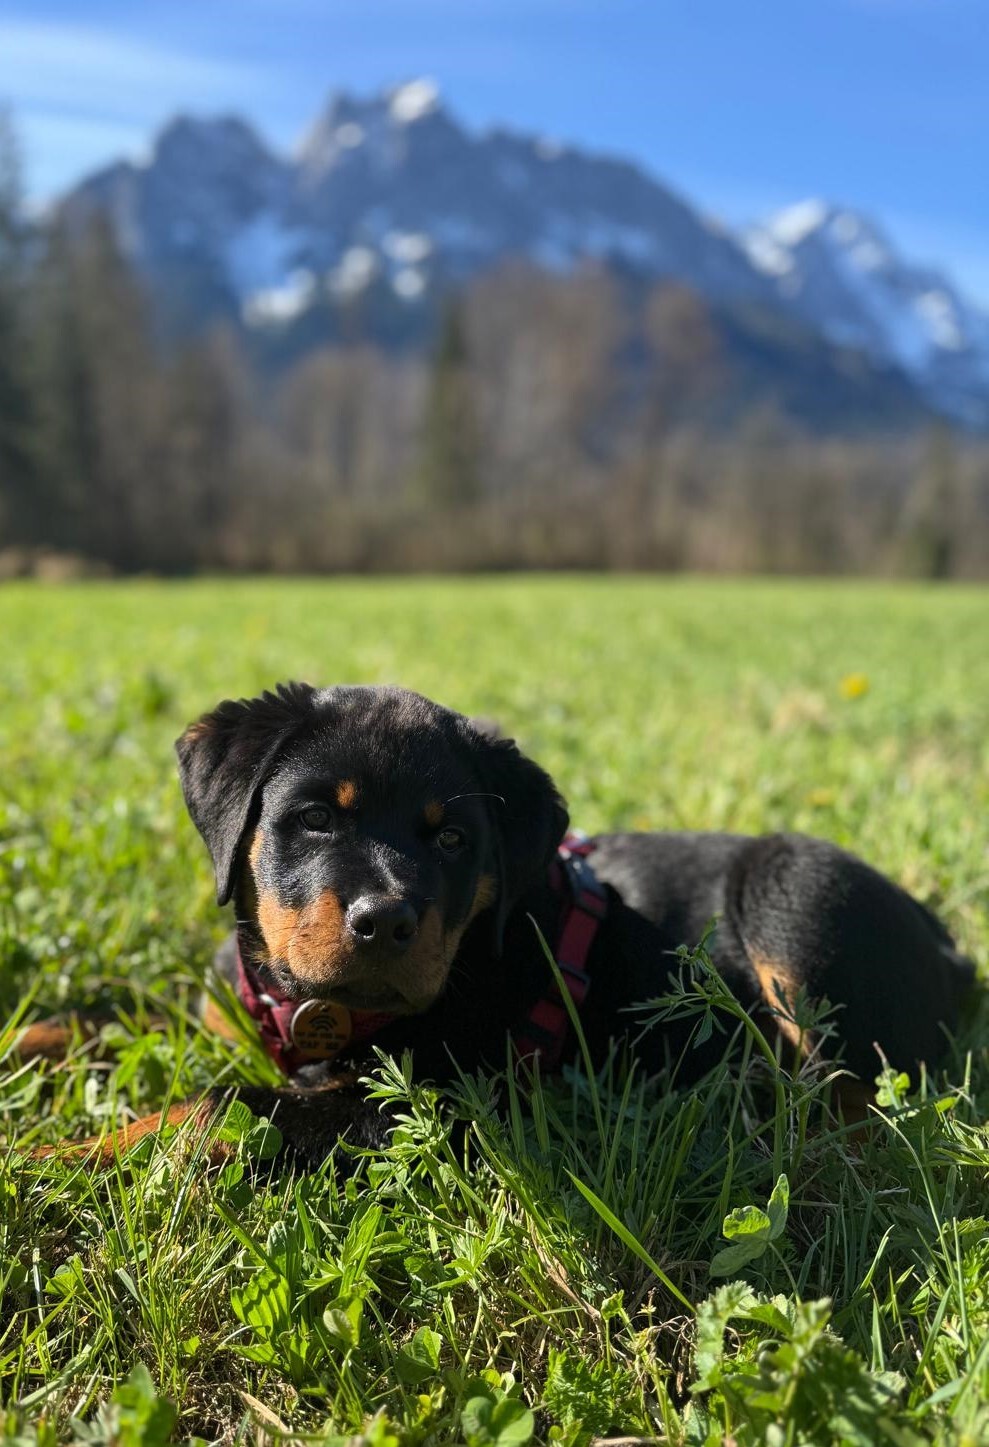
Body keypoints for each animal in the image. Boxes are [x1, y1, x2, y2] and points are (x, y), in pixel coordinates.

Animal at [28, 682, 975, 1166]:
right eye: (315, 820)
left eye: (452, 838)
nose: (385, 920)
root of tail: (953, 951)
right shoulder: (228, 1010)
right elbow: (129, 1021)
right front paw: (35, 1037)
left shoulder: (418, 1102)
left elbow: (216, 1104)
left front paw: (49, 1162)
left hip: (793, 893)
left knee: (849, 1097)